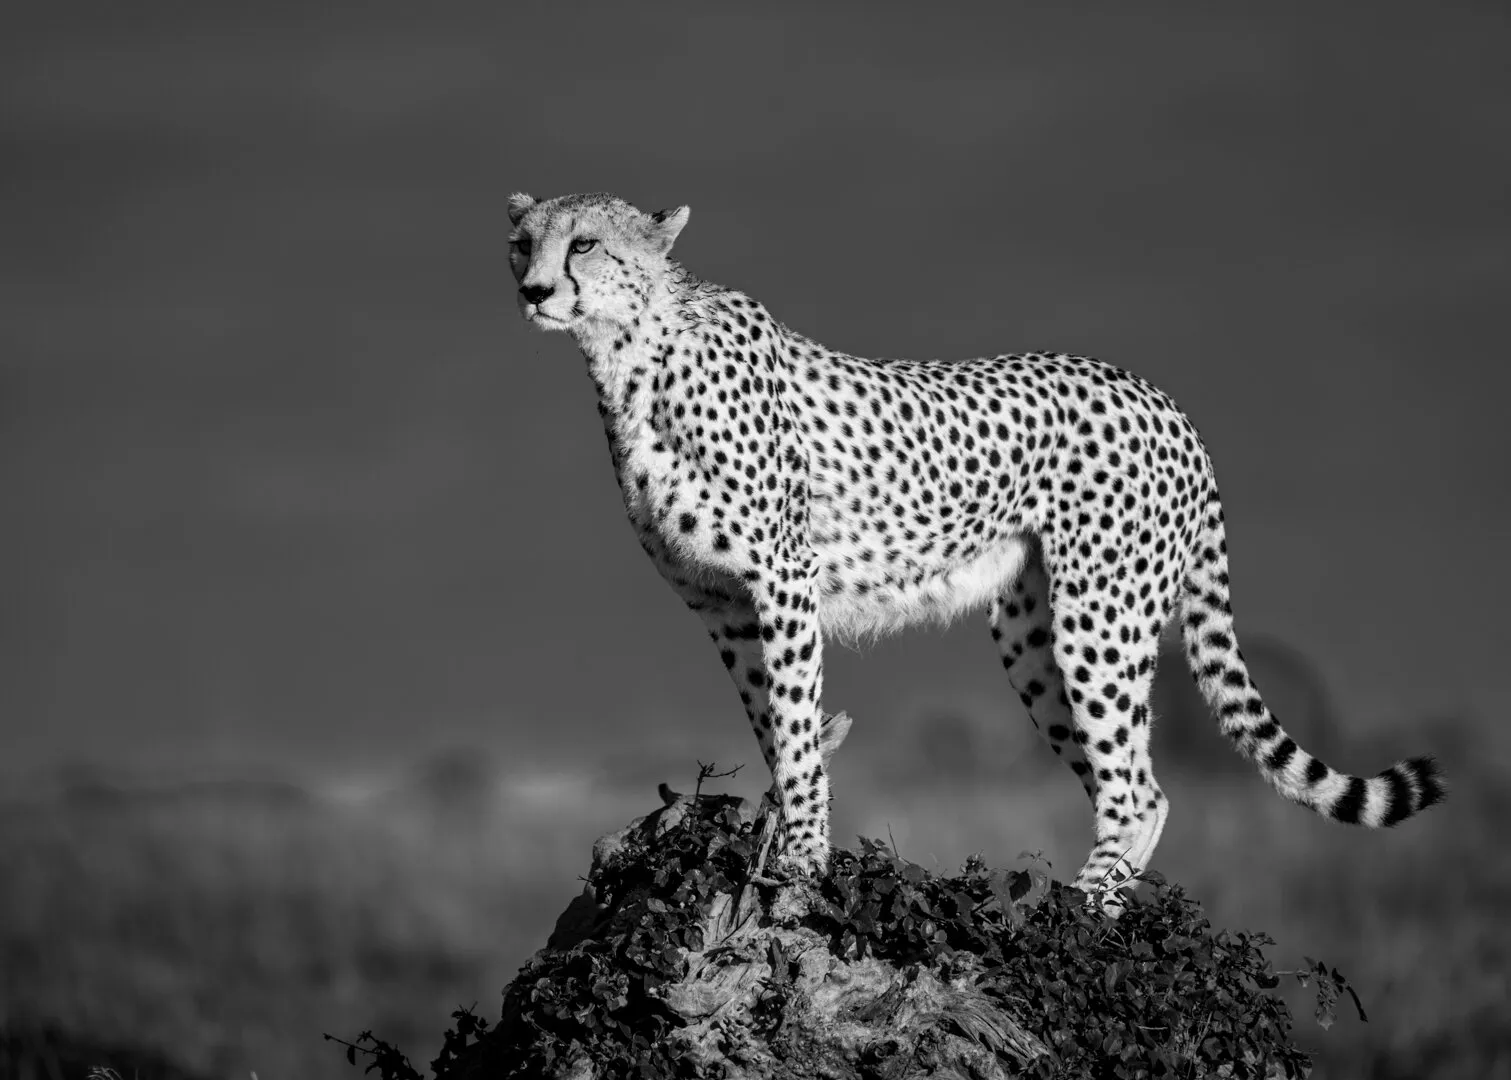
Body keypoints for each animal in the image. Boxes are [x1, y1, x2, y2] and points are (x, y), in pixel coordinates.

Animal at [506, 190, 1443, 911]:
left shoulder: (781, 581)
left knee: (1136, 787)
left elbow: (800, 732)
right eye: (522, 242)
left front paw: (802, 861)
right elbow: (776, 727)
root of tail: (1163, 400)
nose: (534, 288)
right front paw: (774, 840)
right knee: (1134, 785)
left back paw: (1076, 919)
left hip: (1098, 619)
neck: (631, 358)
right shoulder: (723, 606)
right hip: (1031, 633)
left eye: (583, 242)